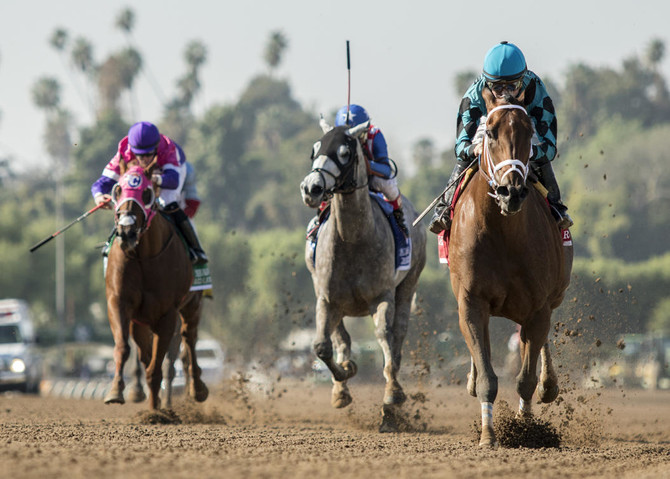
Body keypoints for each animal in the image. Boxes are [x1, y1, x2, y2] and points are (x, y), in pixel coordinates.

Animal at [103, 164, 209, 408]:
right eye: (117, 190)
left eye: (147, 193)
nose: (127, 231)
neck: (143, 256)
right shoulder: (120, 302)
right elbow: (125, 348)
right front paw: (116, 391)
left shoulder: (167, 313)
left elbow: (158, 366)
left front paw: (156, 411)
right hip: (141, 320)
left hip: (192, 305)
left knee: (189, 339)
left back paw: (197, 389)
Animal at [302, 119, 428, 432]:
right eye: (314, 149)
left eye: (345, 152)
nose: (311, 188)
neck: (353, 239)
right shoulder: (326, 298)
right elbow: (323, 346)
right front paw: (343, 380)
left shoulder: (381, 296)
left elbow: (385, 336)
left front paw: (393, 394)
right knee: (341, 339)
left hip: (408, 285)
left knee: (397, 337)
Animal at [448, 88, 576, 448]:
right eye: (489, 132)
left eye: (529, 131)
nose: (512, 191)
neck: (502, 232)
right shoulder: (471, 301)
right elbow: (487, 378)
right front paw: (489, 434)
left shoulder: (538, 308)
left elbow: (525, 379)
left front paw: (526, 429)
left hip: (550, 297)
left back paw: (549, 385)